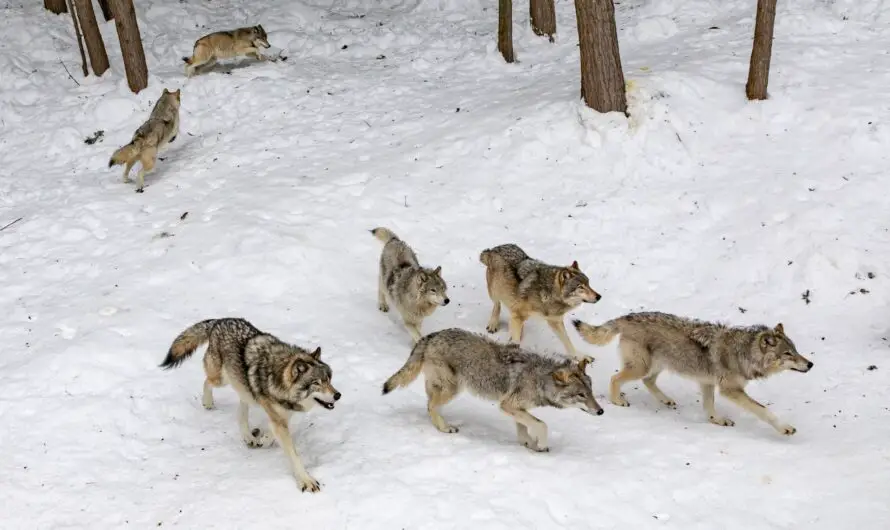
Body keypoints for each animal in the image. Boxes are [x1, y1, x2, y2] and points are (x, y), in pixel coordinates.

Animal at [160, 314, 340, 490]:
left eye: (329, 379)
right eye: (317, 383)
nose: (338, 395)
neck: (277, 377)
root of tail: (219, 320)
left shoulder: (283, 413)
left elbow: (272, 432)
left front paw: (265, 439)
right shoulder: (278, 416)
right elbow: (293, 454)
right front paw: (306, 481)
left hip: (243, 388)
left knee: (241, 411)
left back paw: (249, 437)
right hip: (222, 380)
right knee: (207, 382)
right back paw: (208, 403)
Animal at [382, 326, 604, 450]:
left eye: (591, 393)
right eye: (581, 395)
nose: (601, 411)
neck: (539, 379)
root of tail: (431, 335)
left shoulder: (517, 408)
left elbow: (525, 427)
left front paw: (529, 444)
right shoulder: (507, 405)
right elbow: (542, 425)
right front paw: (540, 444)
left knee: (429, 404)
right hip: (453, 389)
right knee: (430, 405)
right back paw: (445, 428)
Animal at [568, 310, 812, 434]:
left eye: (796, 351)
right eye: (788, 354)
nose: (810, 364)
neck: (744, 353)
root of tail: (628, 316)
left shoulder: (707, 382)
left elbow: (709, 407)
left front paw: (717, 421)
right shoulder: (730, 390)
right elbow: (764, 411)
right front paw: (785, 428)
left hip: (657, 366)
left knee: (648, 382)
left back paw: (665, 400)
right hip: (641, 367)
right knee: (615, 378)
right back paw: (617, 400)